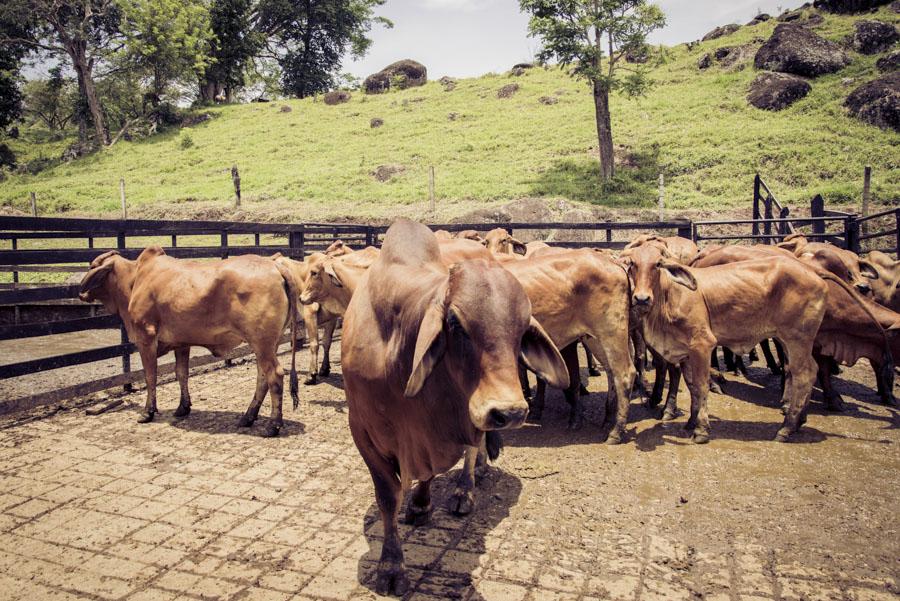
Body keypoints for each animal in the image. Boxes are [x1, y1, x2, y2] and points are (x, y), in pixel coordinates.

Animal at [79, 248, 300, 436]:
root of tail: (275, 266)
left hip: (262, 343)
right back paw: (248, 417)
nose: (81, 293)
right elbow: (181, 374)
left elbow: (150, 376)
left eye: (93, 266)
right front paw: (182, 407)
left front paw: (148, 411)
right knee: (262, 378)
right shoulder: (182, 343)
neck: (135, 279)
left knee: (275, 375)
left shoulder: (145, 338)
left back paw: (273, 425)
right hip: (266, 344)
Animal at [342, 218, 568, 592]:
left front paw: (422, 504)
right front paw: (391, 565)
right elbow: (389, 496)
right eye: (454, 323)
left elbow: (441, 464)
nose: (510, 411)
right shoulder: (363, 430)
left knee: (474, 449)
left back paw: (466, 488)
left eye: (523, 328)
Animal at [624, 241, 828, 442]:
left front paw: (701, 429)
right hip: (787, 341)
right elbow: (691, 386)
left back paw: (787, 427)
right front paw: (691, 421)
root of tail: (815, 275)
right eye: (632, 263)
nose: (641, 298)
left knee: (804, 374)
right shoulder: (686, 352)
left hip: (798, 340)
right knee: (802, 371)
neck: (670, 297)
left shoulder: (702, 345)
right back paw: (799, 420)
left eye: (658, 264)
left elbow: (701, 385)